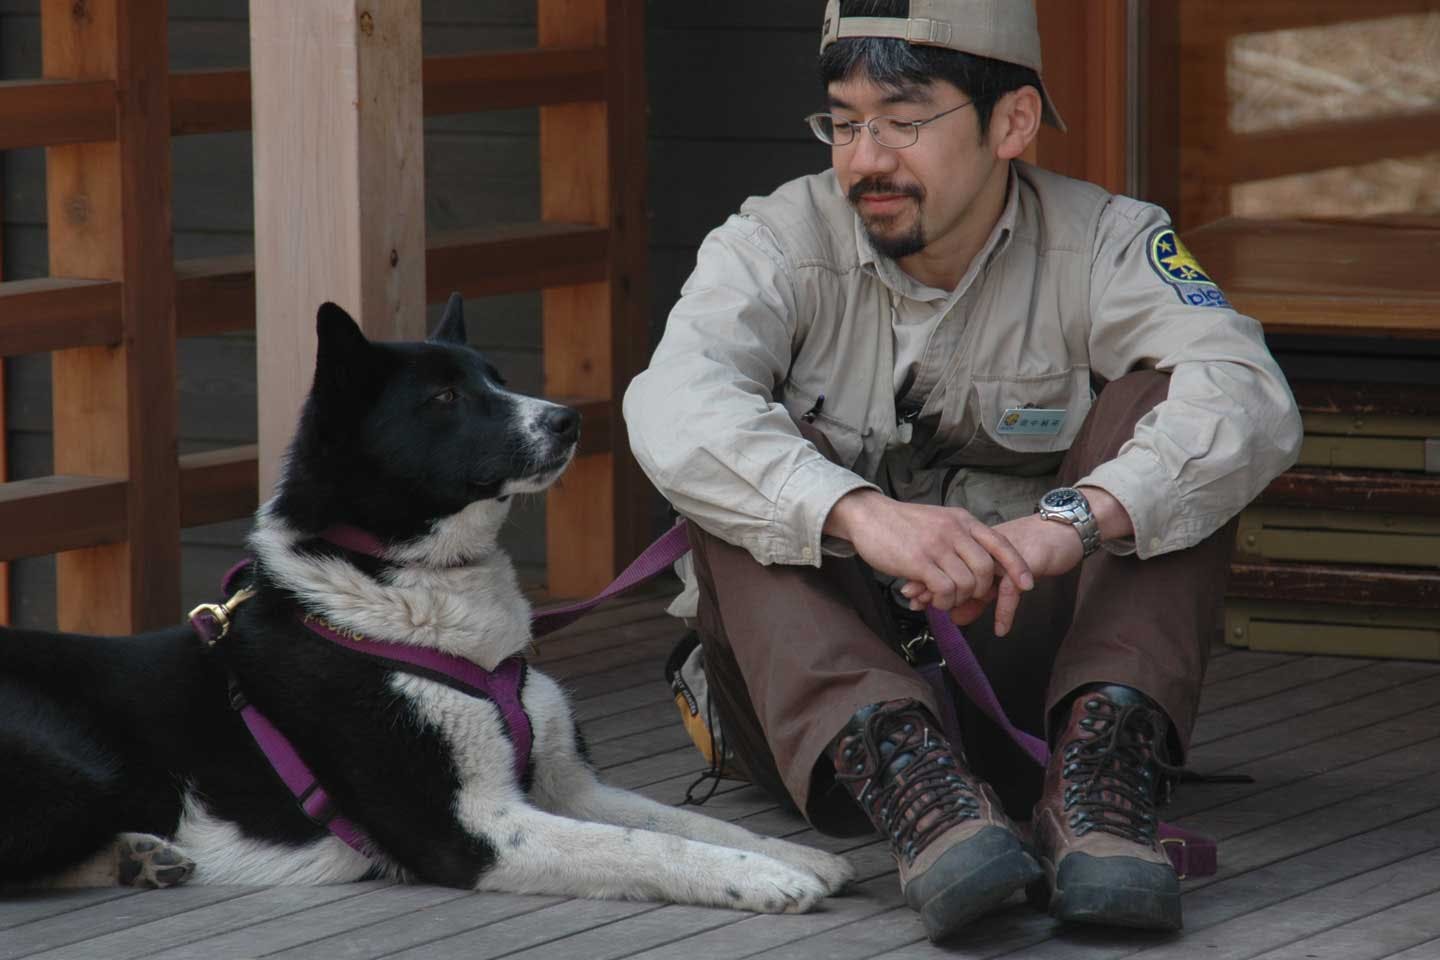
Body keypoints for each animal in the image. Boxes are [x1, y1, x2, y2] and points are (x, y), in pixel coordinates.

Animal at [0, 296, 852, 915]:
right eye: (444, 397)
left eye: (496, 377)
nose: (569, 418)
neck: (401, 581)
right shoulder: (465, 830)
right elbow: (642, 847)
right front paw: (766, 878)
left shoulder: (567, 786)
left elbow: (683, 820)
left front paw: (798, 854)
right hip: (84, 768)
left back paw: (139, 857)